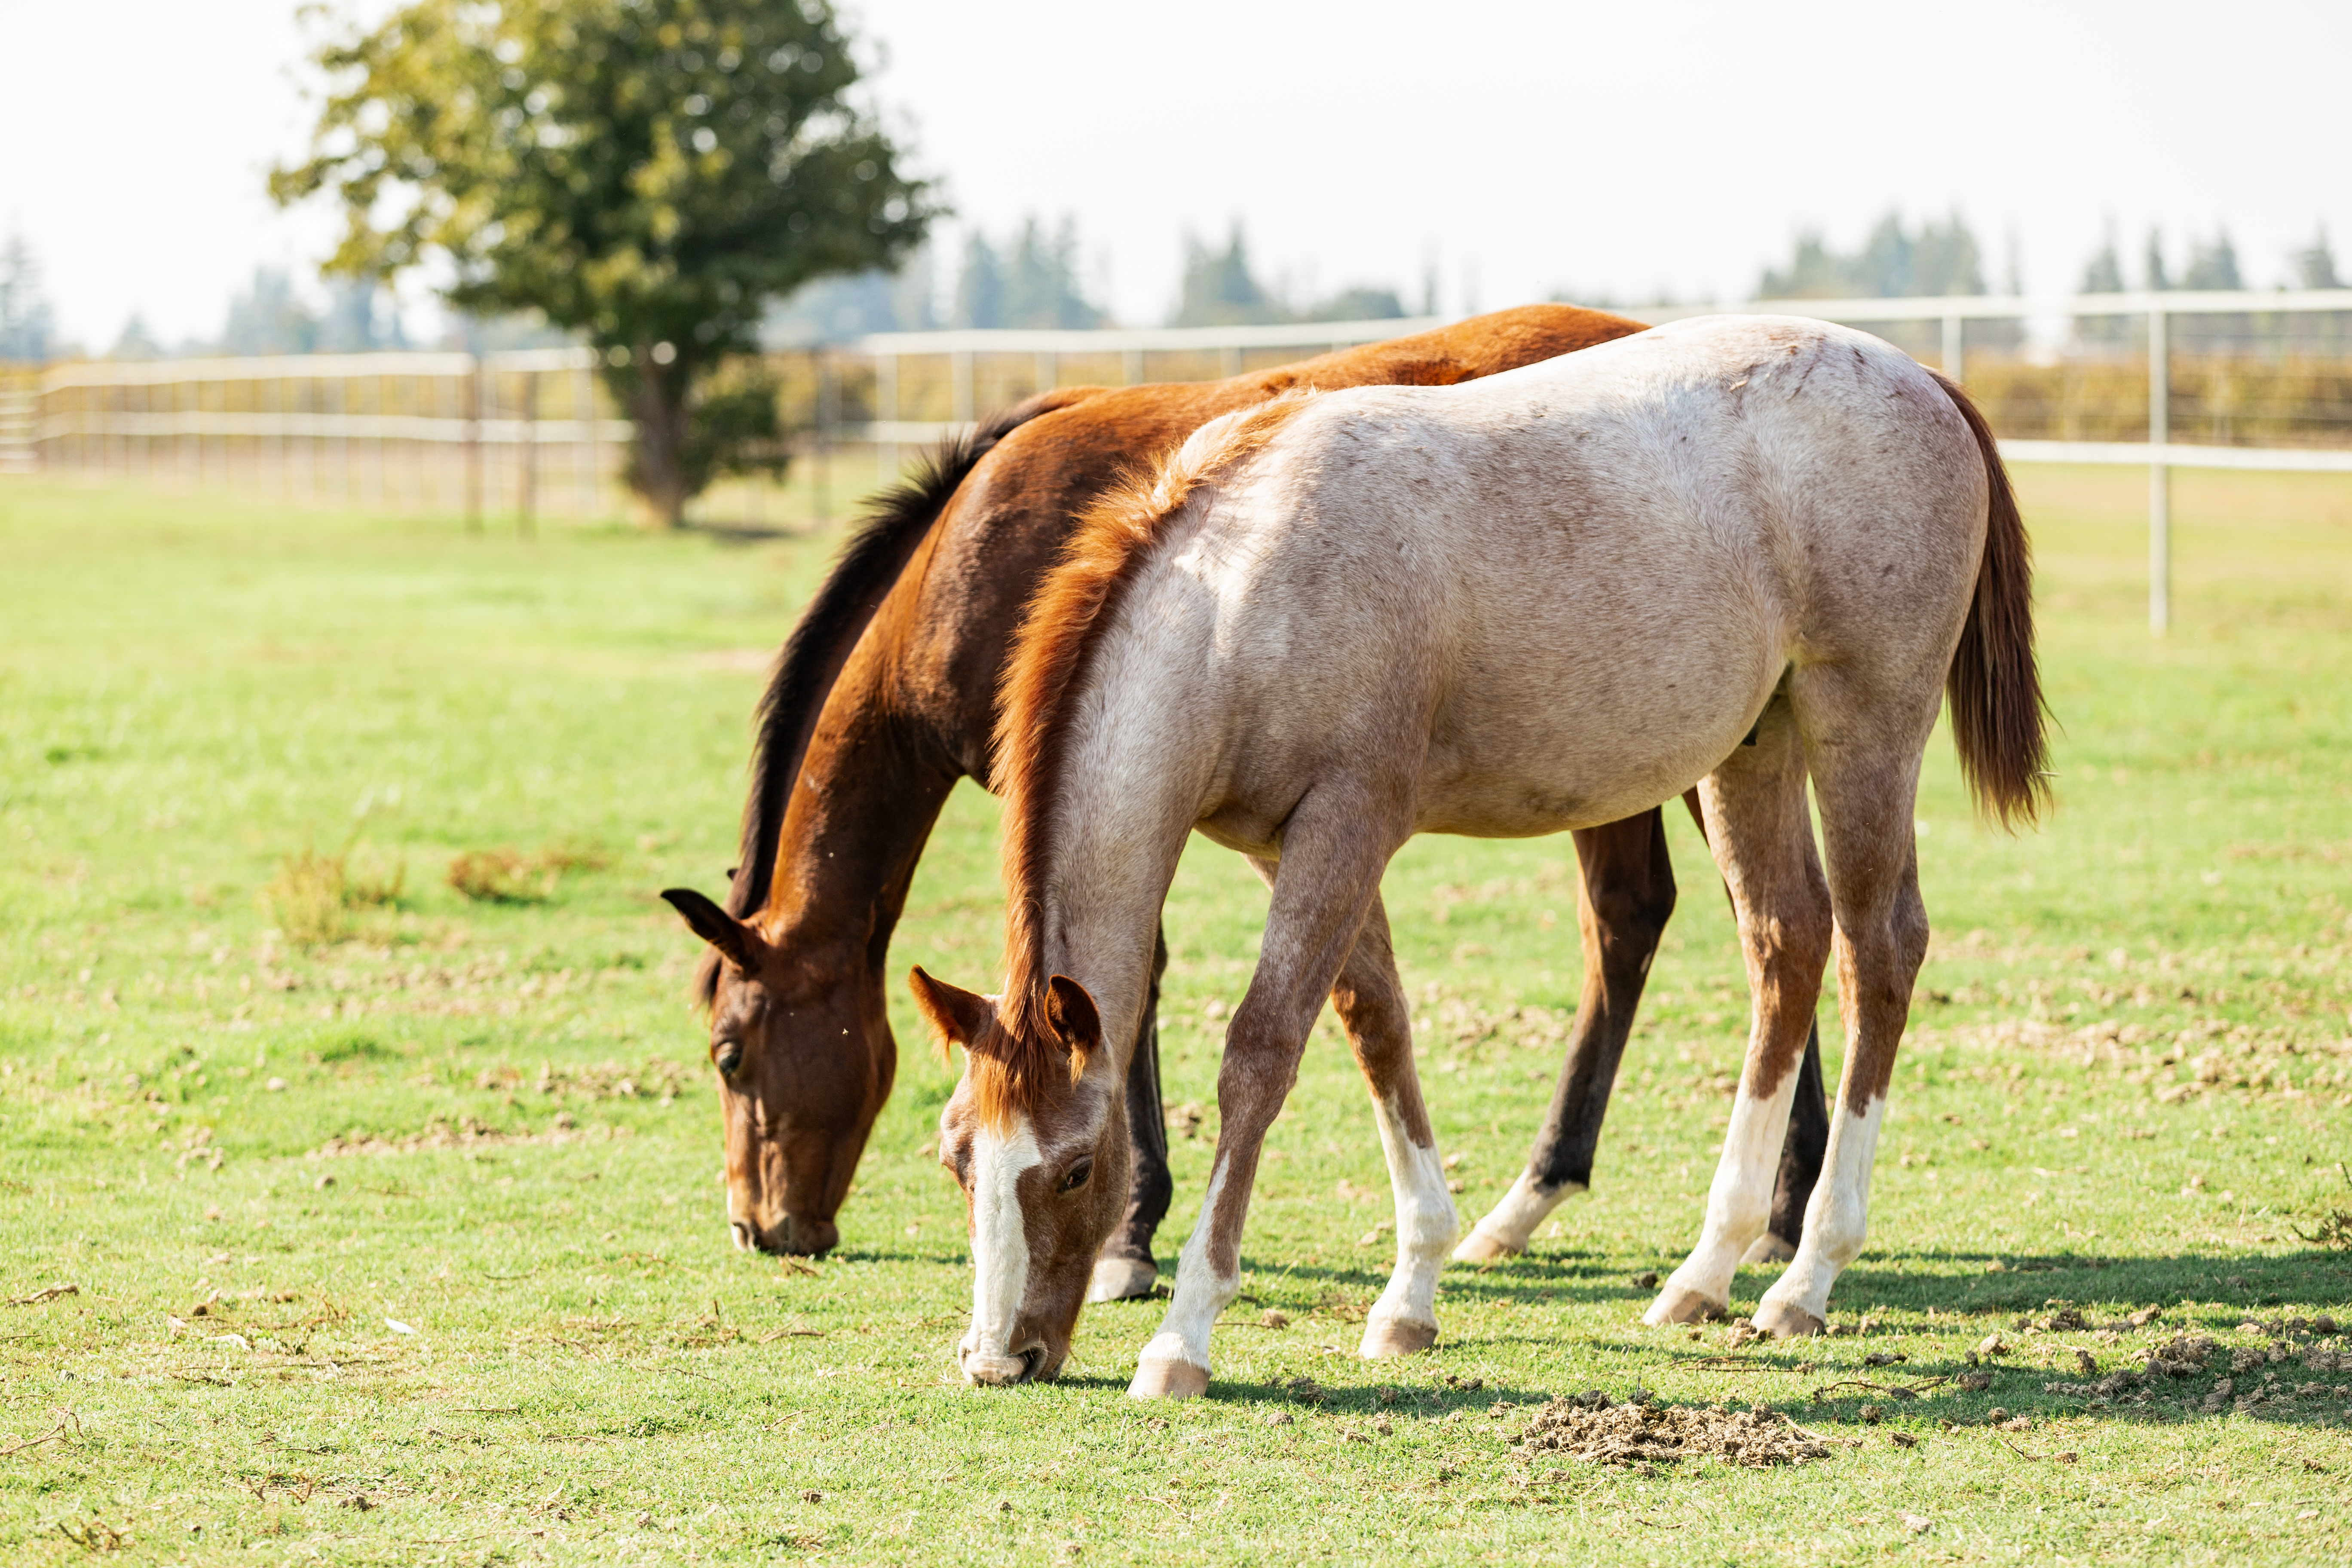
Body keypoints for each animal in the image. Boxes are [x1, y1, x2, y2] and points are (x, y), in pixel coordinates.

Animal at [658, 303, 1834, 1288]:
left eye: (730, 1054)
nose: (759, 1226)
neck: (969, 558)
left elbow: (1131, 988)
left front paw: (1130, 1236)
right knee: (1641, 918)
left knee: (1763, 923)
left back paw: (1784, 1209)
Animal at [898, 312, 2041, 1391]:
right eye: (956, 1159)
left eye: (1075, 1169)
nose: (997, 1359)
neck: (1243, 591)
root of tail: (1920, 379)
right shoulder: (1287, 845)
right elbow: (1377, 1027)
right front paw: (1410, 1295)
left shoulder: (1346, 824)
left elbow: (1261, 1054)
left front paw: (1183, 1337)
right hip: (1752, 748)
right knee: (1784, 946)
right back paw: (1704, 1272)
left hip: (1863, 727)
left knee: (1876, 951)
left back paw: (1804, 1279)